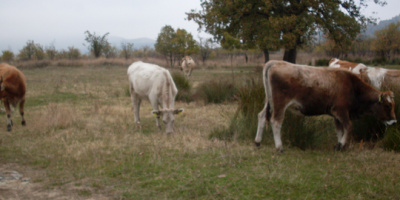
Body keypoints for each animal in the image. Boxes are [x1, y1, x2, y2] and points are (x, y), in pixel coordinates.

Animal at [255, 60, 396, 152]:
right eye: (388, 106)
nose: (394, 121)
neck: (353, 86)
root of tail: (274, 63)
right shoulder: (341, 111)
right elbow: (348, 127)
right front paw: (342, 145)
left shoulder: (336, 115)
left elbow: (340, 130)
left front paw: (338, 144)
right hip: (279, 104)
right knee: (276, 121)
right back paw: (279, 147)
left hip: (269, 102)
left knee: (261, 116)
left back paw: (258, 142)